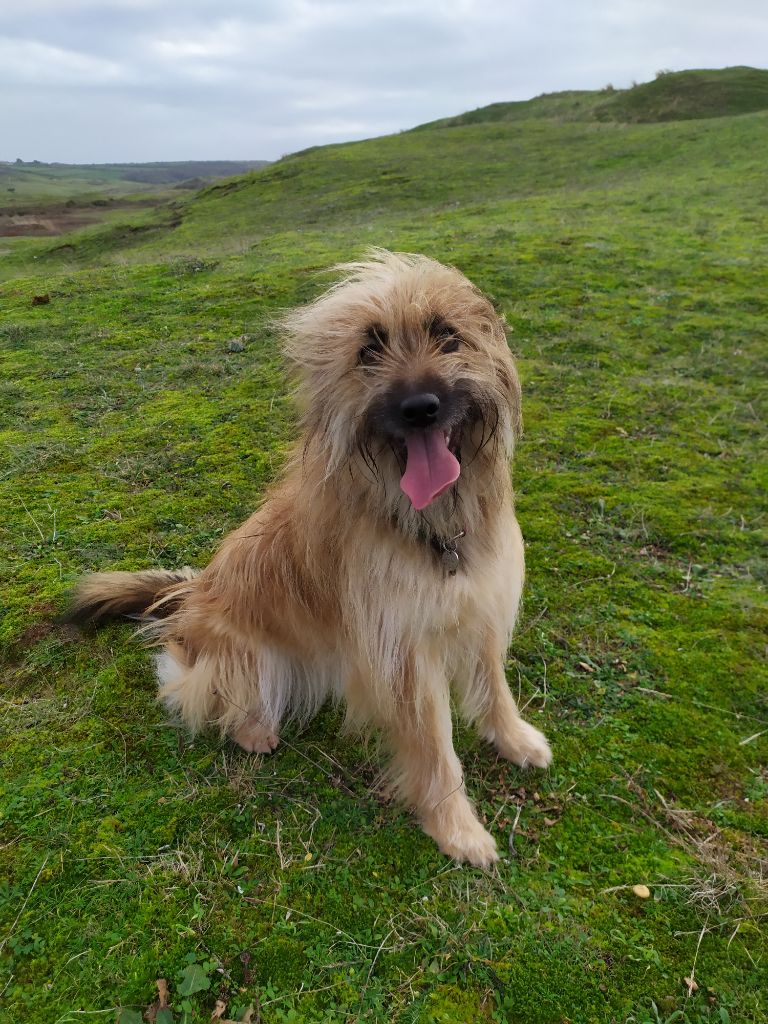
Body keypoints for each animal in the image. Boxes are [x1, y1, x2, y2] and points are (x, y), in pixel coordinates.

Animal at [69, 247, 552, 864]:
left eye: (447, 334)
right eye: (369, 350)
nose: (420, 407)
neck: (428, 522)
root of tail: (194, 592)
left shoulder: (480, 606)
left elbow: (494, 688)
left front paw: (515, 739)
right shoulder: (403, 654)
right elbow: (435, 747)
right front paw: (457, 828)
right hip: (248, 654)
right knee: (187, 682)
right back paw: (251, 727)